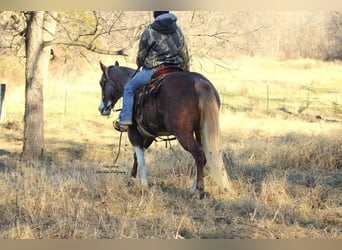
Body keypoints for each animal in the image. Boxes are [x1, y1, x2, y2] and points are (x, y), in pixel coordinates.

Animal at [99, 61, 232, 199]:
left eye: (102, 82)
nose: (102, 108)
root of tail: (199, 82)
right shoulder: (149, 136)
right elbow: (137, 156)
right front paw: (133, 180)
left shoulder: (134, 133)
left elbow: (140, 158)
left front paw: (143, 184)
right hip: (200, 131)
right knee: (203, 155)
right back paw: (192, 189)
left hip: (183, 134)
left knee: (199, 154)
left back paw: (200, 190)